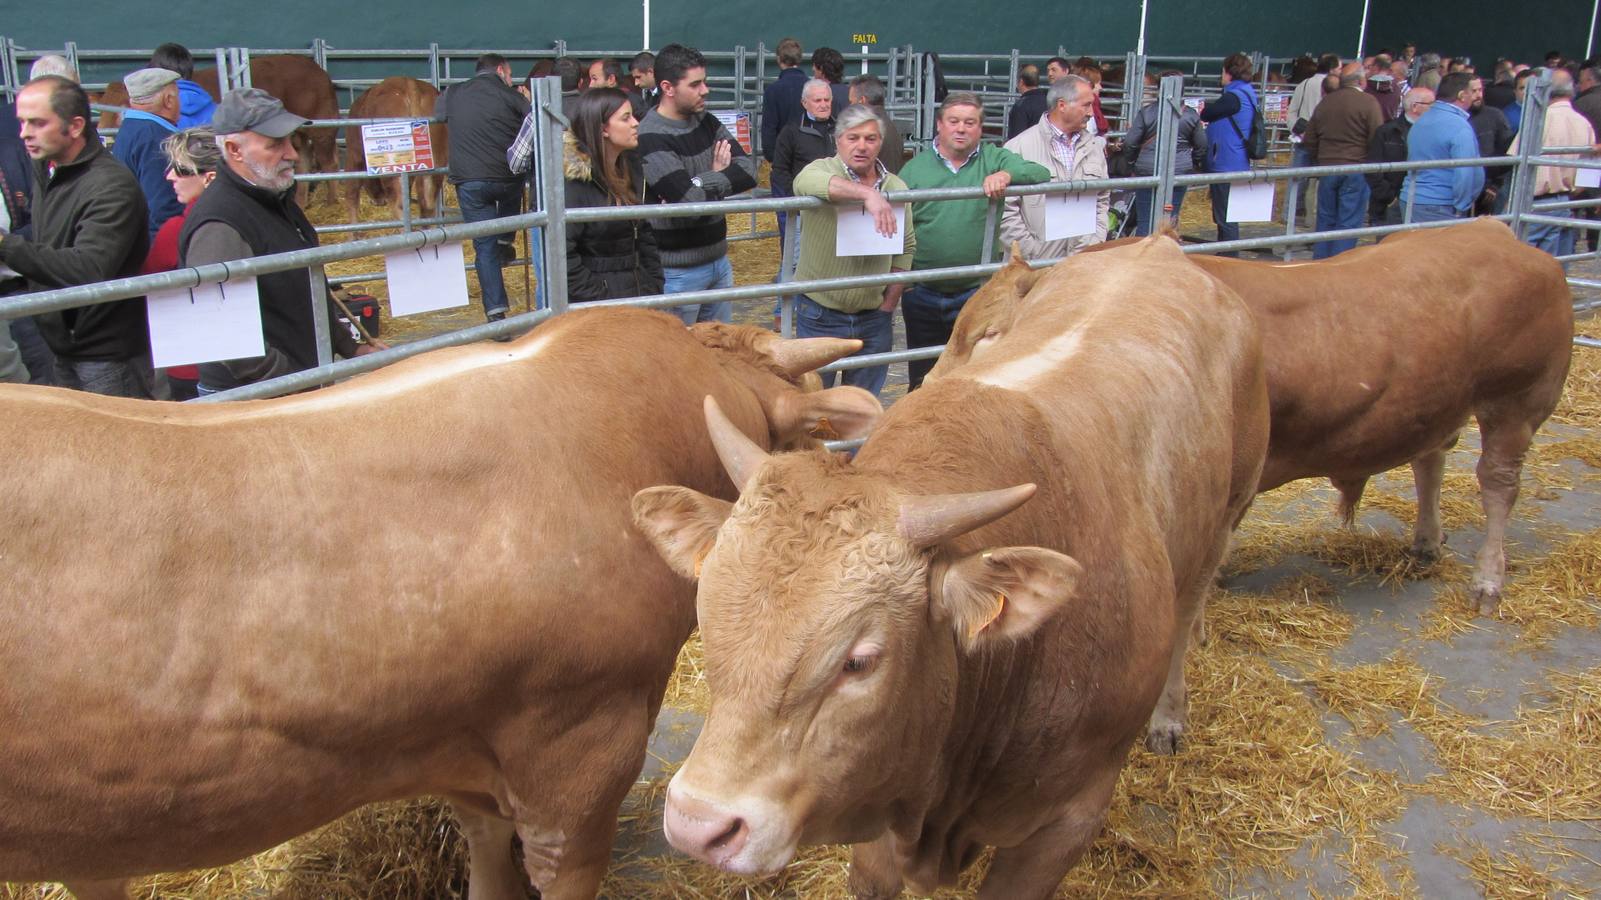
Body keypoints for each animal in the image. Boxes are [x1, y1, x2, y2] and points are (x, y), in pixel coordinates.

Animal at [934, 217, 1568, 608]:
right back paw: (1427, 541)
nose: (932, 389)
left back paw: (1488, 578)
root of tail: (1498, 232)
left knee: (1498, 486)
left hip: (1518, 402)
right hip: (1441, 403)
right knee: (1430, 460)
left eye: (987, 333)